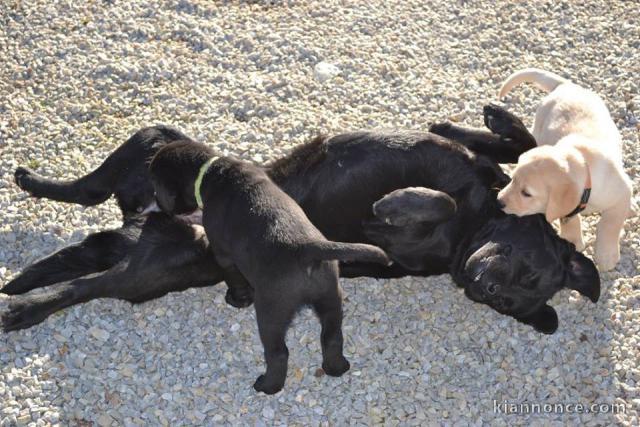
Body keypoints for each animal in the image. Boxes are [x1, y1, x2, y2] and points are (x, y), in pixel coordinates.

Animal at [1, 106, 600, 334]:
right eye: (528, 271)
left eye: (514, 302)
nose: (488, 289)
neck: (476, 226)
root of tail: (137, 220)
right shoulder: (481, 171)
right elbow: (516, 144)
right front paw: (491, 119)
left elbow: (431, 205)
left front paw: (398, 202)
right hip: (159, 140)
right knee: (88, 192)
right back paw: (31, 185)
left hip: (147, 266)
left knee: (83, 284)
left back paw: (22, 306)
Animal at [149, 141, 390, 394]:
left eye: (155, 184)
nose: (155, 201)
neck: (212, 171)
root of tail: (307, 249)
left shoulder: (223, 254)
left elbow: (234, 278)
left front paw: (236, 300)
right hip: (331, 298)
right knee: (331, 337)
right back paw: (337, 368)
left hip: (271, 312)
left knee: (279, 353)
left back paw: (267, 385)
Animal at [498, 69, 632, 272]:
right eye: (512, 180)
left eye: (526, 193)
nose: (499, 202)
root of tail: (565, 85)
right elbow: (569, 218)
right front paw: (573, 238)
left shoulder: (621, 192)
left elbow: (610, 223)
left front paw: (606, 254)